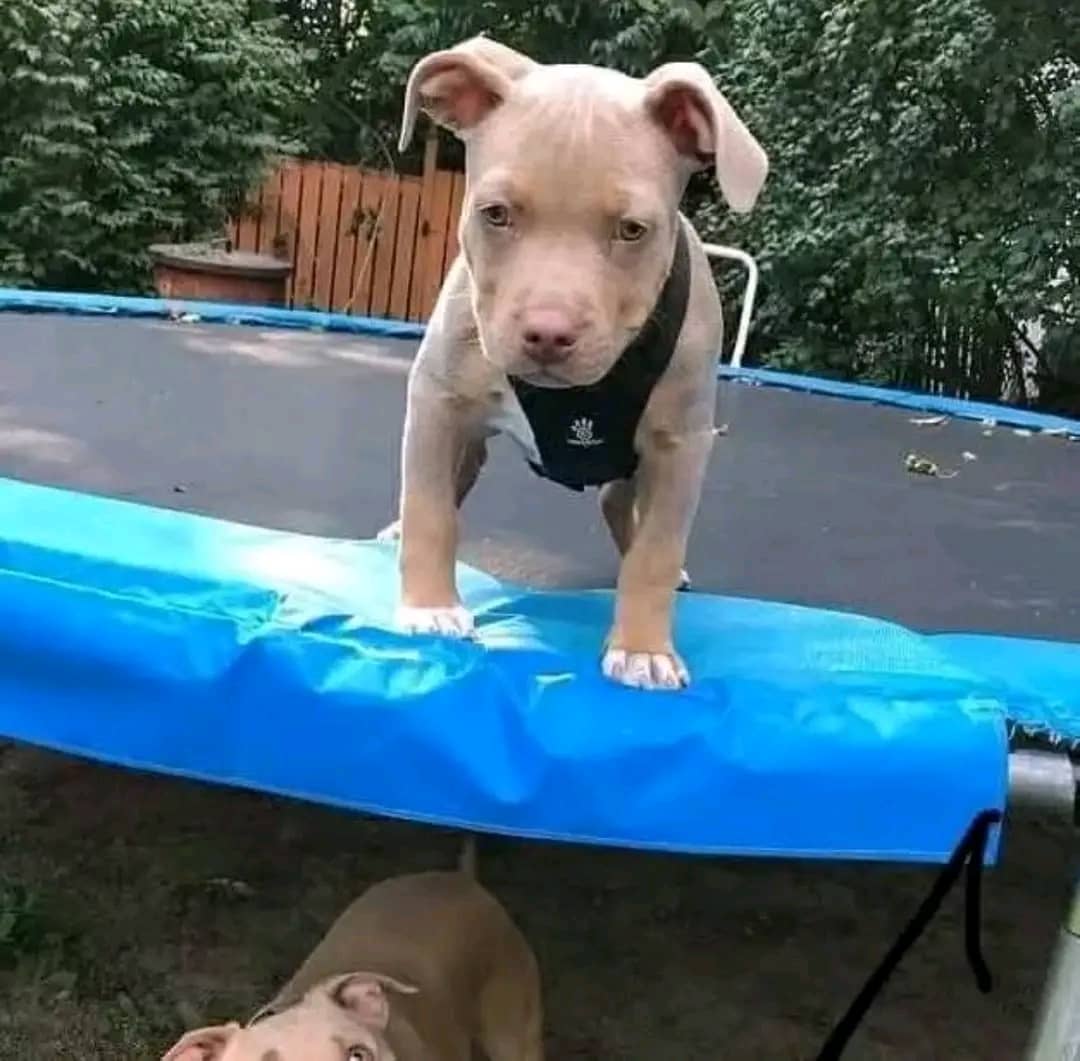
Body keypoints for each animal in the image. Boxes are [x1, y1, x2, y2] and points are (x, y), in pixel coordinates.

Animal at [381, 36, 769, 690]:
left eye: (632, 230)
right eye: (495, 214)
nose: (547, 334)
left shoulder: (681, 444)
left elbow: (655, 553)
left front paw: (643, 649)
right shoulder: (438, 401)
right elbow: (431, 508)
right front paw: (429, 607)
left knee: (621, 506)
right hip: (466, 439)